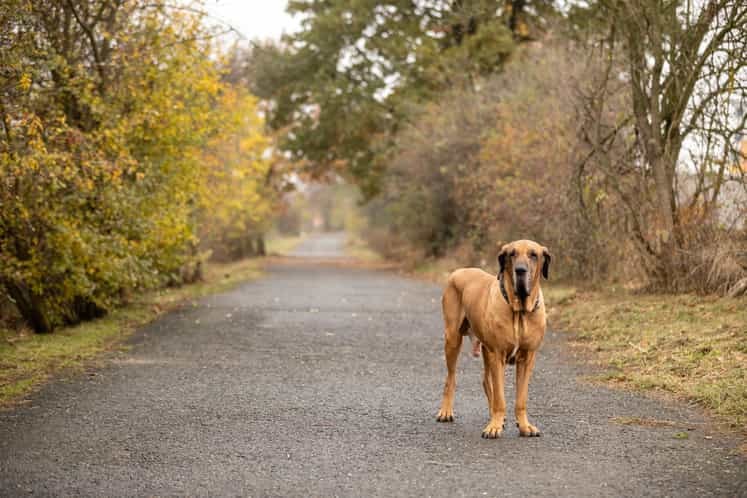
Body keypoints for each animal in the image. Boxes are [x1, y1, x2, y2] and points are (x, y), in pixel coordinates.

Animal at [436, 239, 552, 438]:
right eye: (512, 254)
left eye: (533, 255)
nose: (520, 270)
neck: (519, 311)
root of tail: (459, 271)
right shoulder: (497, 355)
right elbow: (500, 397)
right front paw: (494, 426)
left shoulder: (527, 358)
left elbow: (521, 398)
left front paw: (524, 425)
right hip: (453, 339)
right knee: (451, 379)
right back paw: (446, 411)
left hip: (484, 350)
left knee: (486, 381)